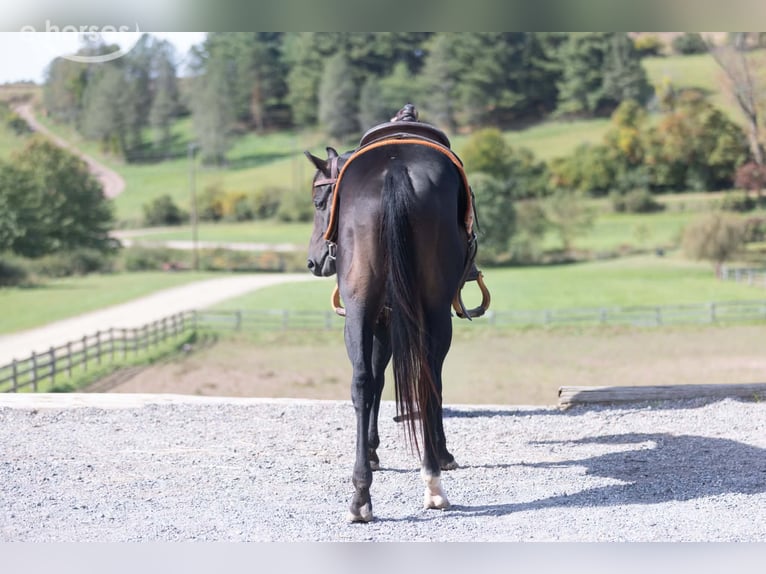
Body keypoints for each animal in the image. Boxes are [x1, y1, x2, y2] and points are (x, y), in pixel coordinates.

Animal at [304, 109, 480, 523]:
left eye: (319, 202)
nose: (313, 261)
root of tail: (395, 169)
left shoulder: (380, 318)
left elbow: (375, 380)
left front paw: (371, 451)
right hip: (433, 311)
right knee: (426, 377)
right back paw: (432, 477)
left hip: (360, 309)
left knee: (362, 381)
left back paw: (361, 496)